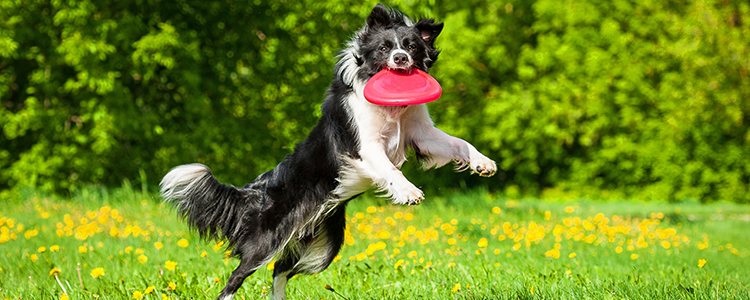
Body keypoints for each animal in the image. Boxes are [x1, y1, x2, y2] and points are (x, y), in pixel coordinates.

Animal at [162, 4, 496, 300]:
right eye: (384, 48)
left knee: (280, 270)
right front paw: (409, 191)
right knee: (237, 277)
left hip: (322, 243)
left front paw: (483, 163)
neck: (394, 111)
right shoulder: (365, 145)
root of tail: (255, 190)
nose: (400, 58)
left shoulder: (422, 133)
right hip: (268, 238)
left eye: (412, 46)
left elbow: (458, 143)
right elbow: (389, 168)